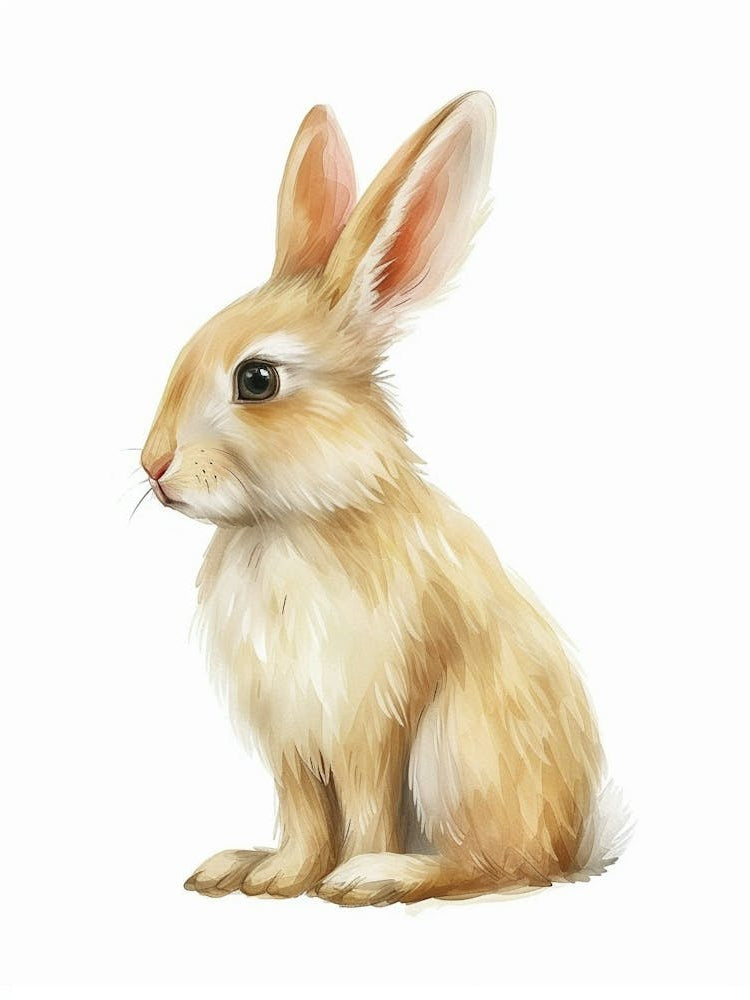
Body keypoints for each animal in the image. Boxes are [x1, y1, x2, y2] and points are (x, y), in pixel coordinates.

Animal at [141, 92, 626, 906]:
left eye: (257, 380)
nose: (153, 466)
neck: (289, 523)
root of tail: (575, 845)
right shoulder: (288, 739)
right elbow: (304, 814)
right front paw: (279, 876)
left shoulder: (369, 718)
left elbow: (364, 804)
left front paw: (337, 879)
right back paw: (235, 864)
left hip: (455, 752)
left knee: (490, 867)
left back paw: (382, 874)